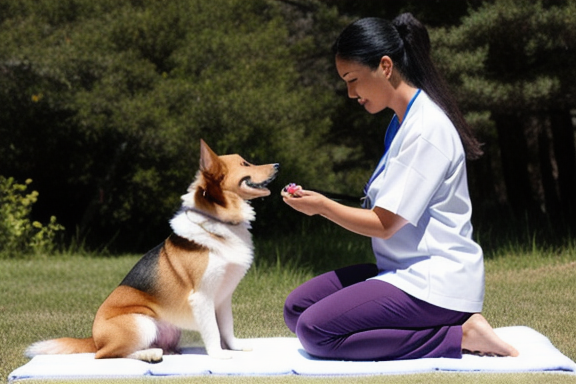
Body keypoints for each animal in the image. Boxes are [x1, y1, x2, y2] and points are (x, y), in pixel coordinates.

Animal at [27, 140, 280, 362]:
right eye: (245, 163)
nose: (277, 165)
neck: (219, 223)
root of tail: (93, 339)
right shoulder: (202, 298)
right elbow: (213, 331)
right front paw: (218, 355)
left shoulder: (223, 297)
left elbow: (227, 328)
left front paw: (236, 347)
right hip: (142, 324)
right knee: (107, 355)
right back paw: (149, 355)